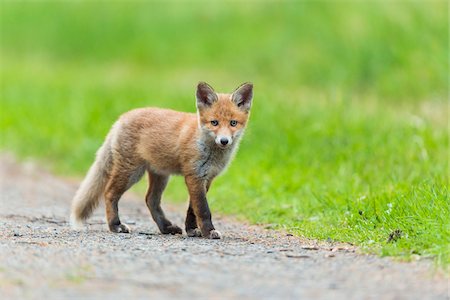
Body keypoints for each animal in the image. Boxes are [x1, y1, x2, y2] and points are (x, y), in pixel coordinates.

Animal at [70, 81, 253, 239]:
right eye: (214, 123)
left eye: (233, 123)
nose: (224, 141)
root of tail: (121, 118)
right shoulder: (194, 176)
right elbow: (202, 209)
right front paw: (209, 232)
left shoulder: (206, 178)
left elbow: (192, 210)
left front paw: (192, 230)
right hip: (132, 172)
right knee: (109, 193)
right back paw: (116, 225)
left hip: (160, 175)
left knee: (150, 200)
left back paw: (166, 227)